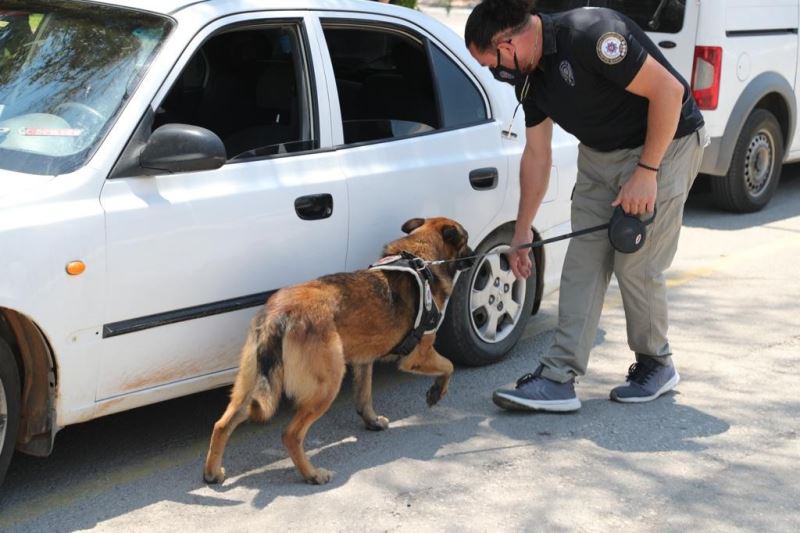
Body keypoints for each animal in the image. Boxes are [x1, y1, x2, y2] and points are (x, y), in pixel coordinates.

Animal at [203, 215, 476, 482]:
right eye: (466, 240)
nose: (474, 257)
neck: (421, 257)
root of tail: (279, 315)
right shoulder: (418, 356)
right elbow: (449, 366)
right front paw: (437, 392)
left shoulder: (364, 361)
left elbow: (364, 397)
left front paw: (372, 421)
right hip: (327, 385)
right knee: (291, 434)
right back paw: (312, 474)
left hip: (250, 385)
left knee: (222, 424)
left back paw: (212, 473)